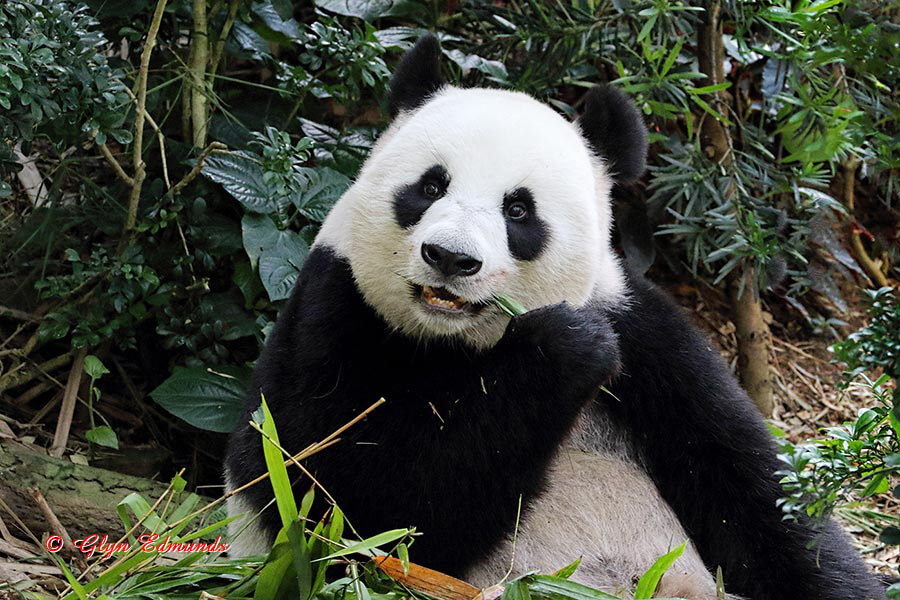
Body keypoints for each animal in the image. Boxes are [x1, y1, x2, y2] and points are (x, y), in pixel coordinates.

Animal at [224, 35, 885, 600]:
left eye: (519, 210)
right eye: (430, 187)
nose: (450, 258)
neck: (458, 343)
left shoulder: (644, 335)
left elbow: (755, 495)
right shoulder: (335, 312)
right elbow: (349, 509)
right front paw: (562, 351)